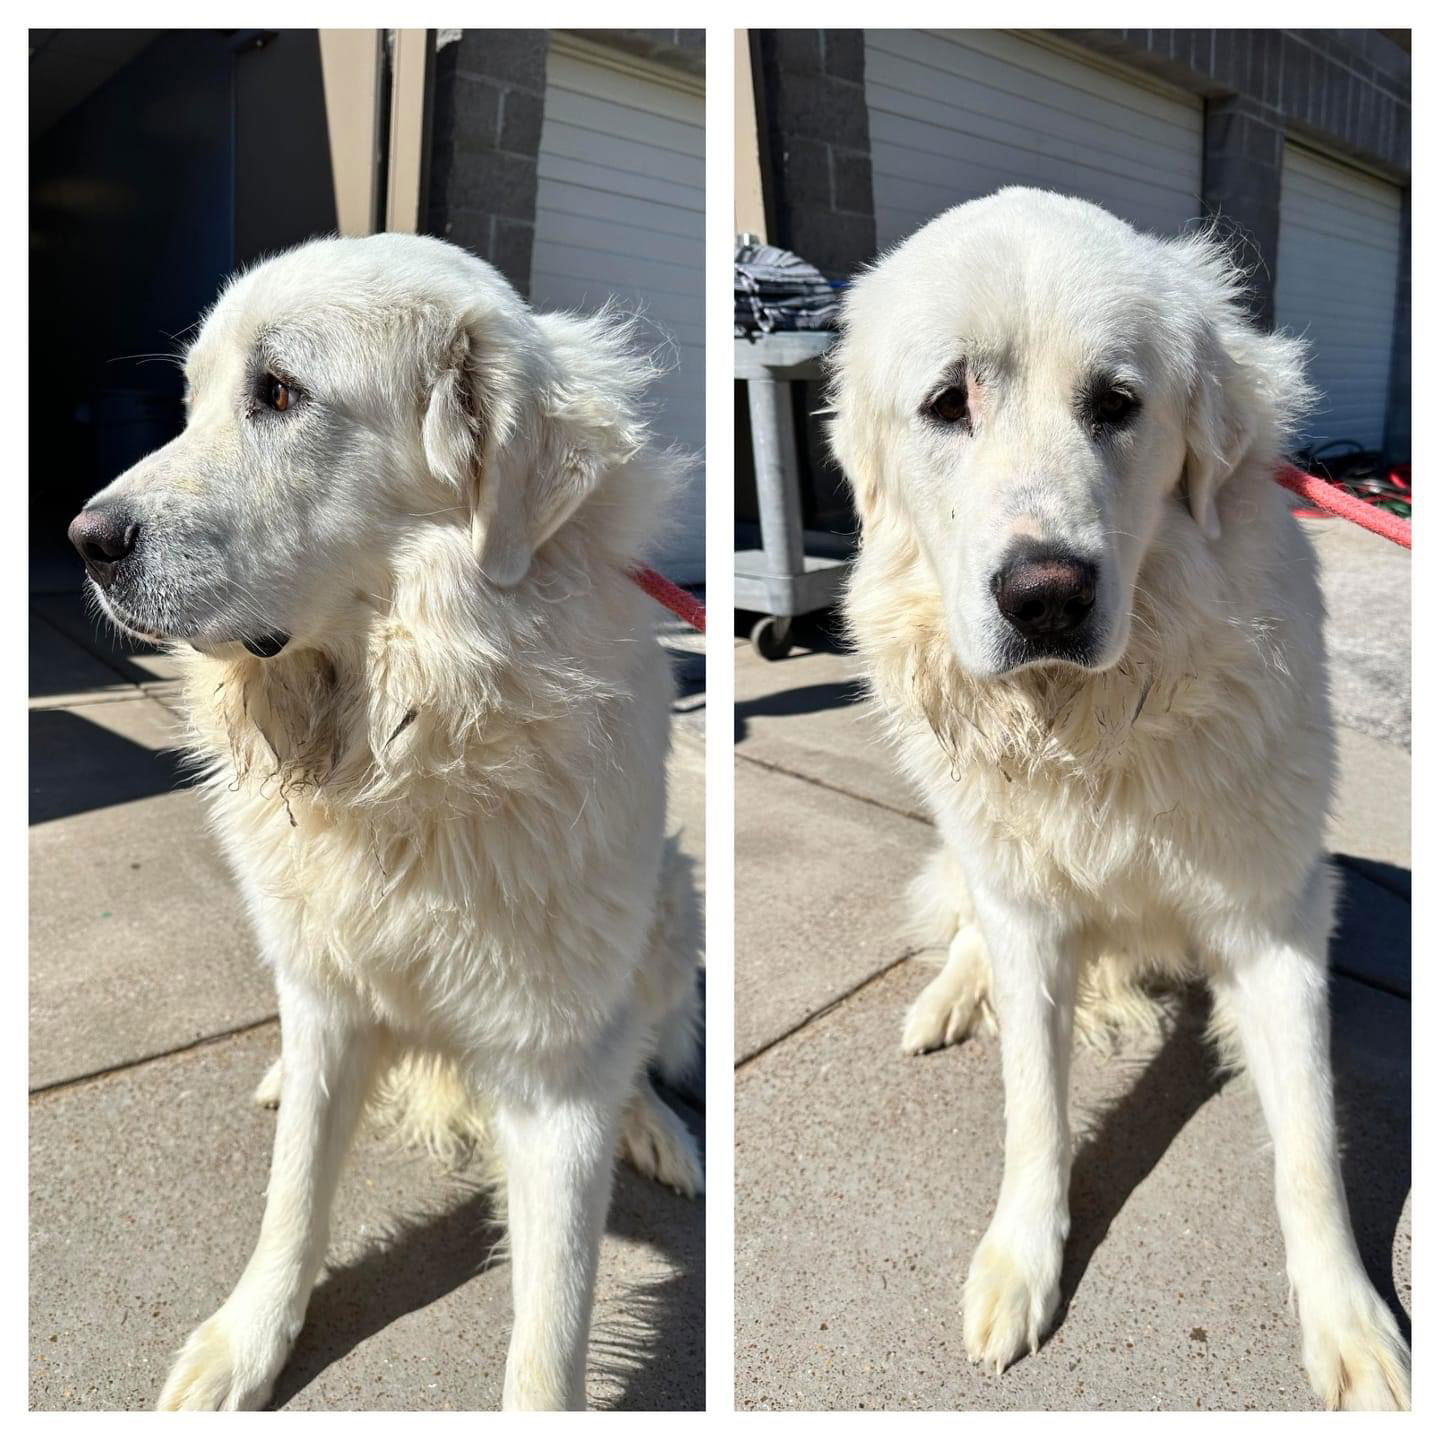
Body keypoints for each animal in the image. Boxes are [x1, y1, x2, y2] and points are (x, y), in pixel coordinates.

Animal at [71, 233, 702, 1405]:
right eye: (191, 401)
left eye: (279, 393)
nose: (84, 540)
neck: (408, 741)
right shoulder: (326, 989)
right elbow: (294, 1195)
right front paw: (248, 1344)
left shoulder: (553, 1077)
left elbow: (553, 1326)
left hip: (671, 909)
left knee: (635, 1041)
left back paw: (655, 1128)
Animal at [835, 185, 1405, 1411]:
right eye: (949, 402)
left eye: (1117, 404)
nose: (1045, 595)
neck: (1089, 726)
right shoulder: (1026, 914)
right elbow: (1033, 1112)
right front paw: (1021, 1263)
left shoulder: (1275, 920)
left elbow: (1309, 1144)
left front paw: (1349, 1324)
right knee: (965, 927)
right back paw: (950, 1001)